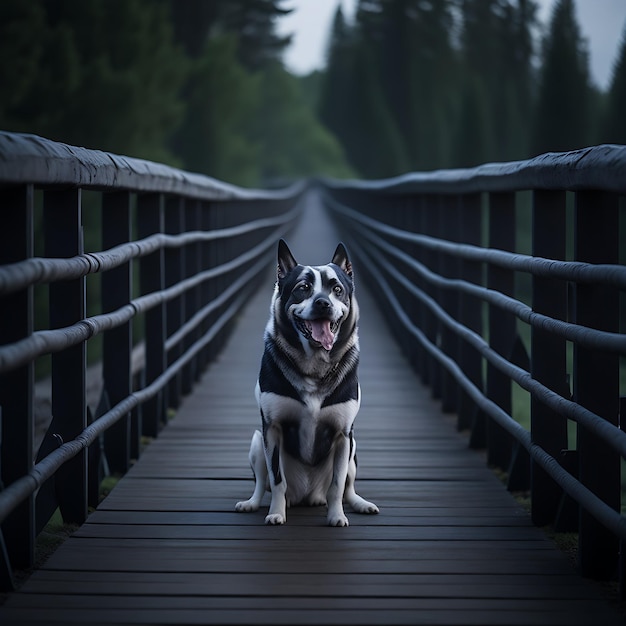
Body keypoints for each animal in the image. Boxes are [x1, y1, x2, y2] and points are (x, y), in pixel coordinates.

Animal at [236, 241, 378, 524]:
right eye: (303, 288)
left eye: (337, 289)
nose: (322, 302)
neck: (314, 363)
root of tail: (308, 496)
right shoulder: (272, 429)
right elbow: (276, 480)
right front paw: (276, 513)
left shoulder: (343, 435)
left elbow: (338, 484)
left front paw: (336, 516)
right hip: (257, 441)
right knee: (261, 482)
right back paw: (252, 503)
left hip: (353, 448)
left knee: (348, 487)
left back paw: (360, 504)